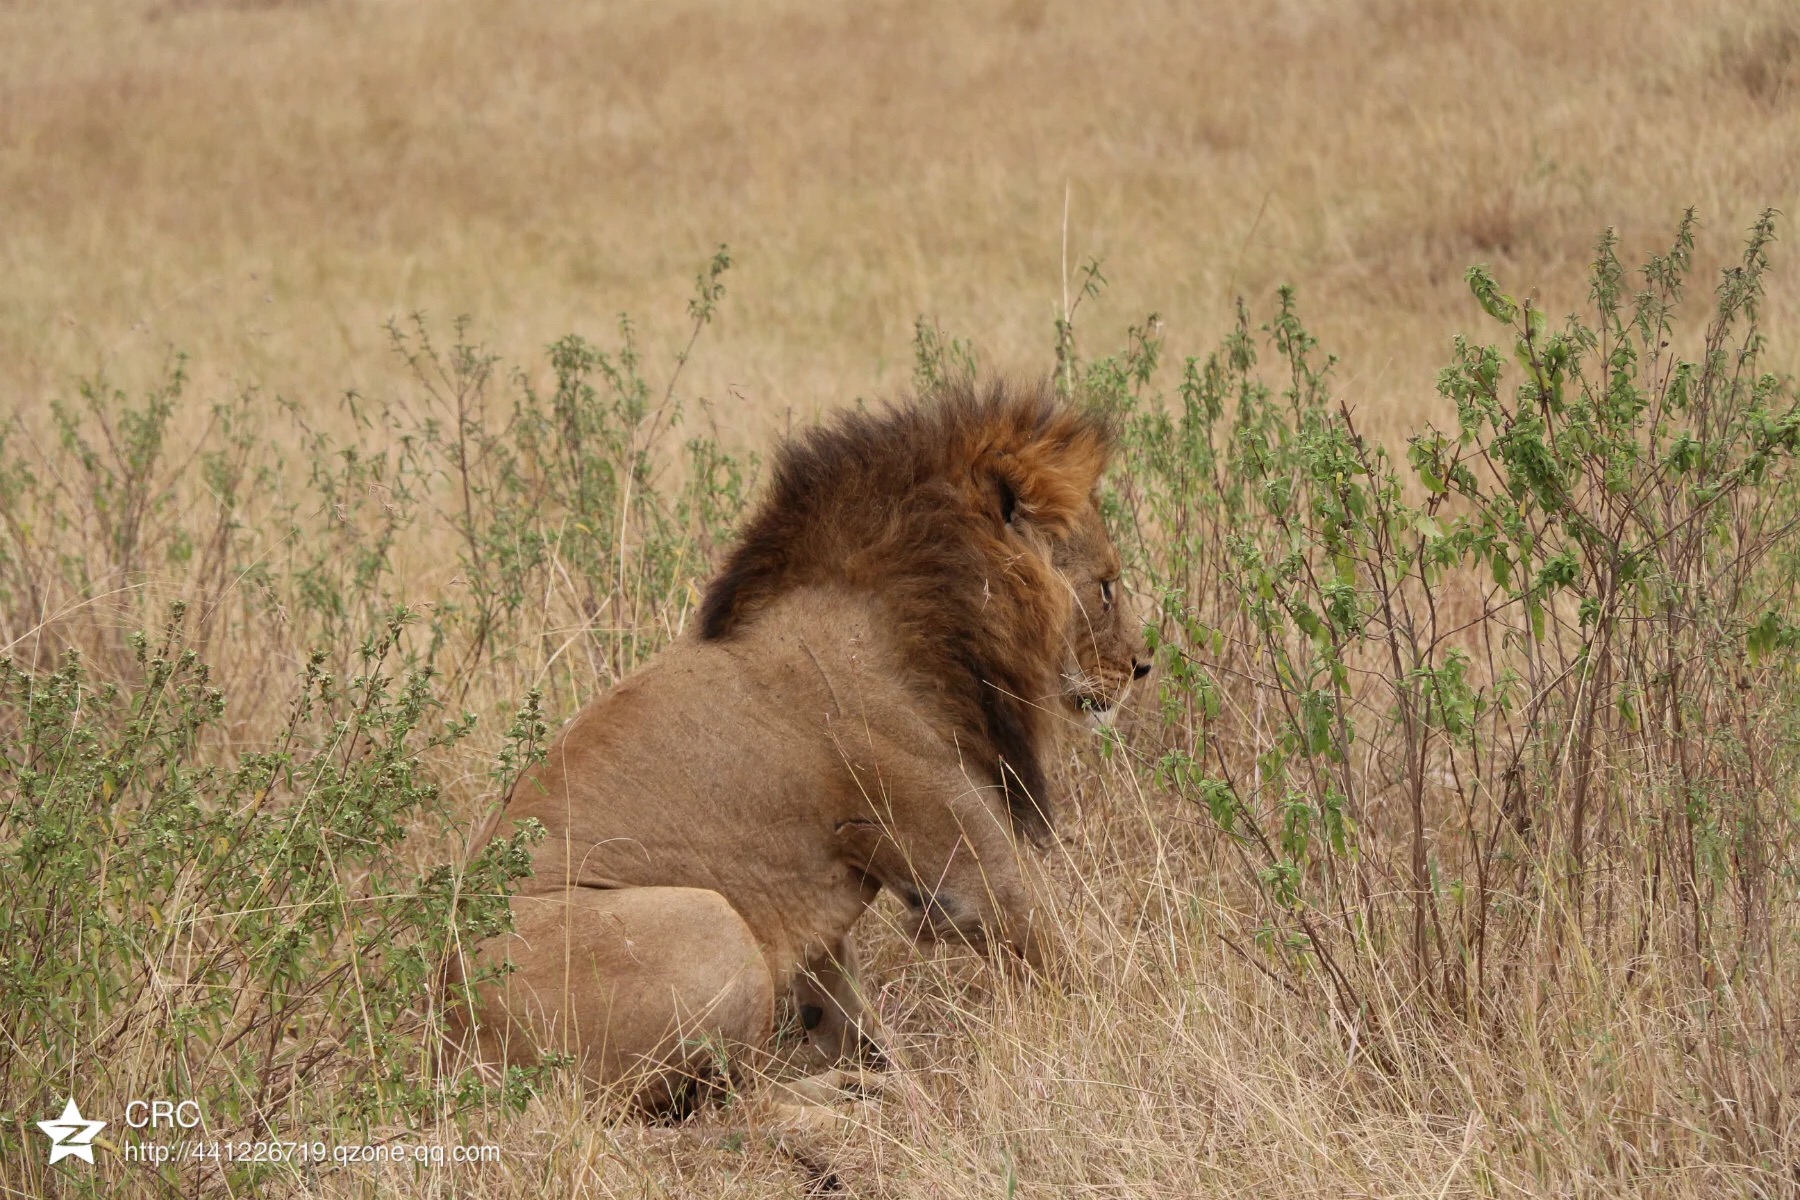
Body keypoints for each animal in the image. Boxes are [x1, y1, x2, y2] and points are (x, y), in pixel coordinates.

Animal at [453, 379, 1152, 1115]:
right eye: (1107, 585)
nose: (1143, 665)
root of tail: (445, 1031)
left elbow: (843, 1005)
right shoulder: (961, 852)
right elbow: (1062, 952)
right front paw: (1123, 1034)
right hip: (710, 926)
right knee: (723, 1111)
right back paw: (861, 1099)